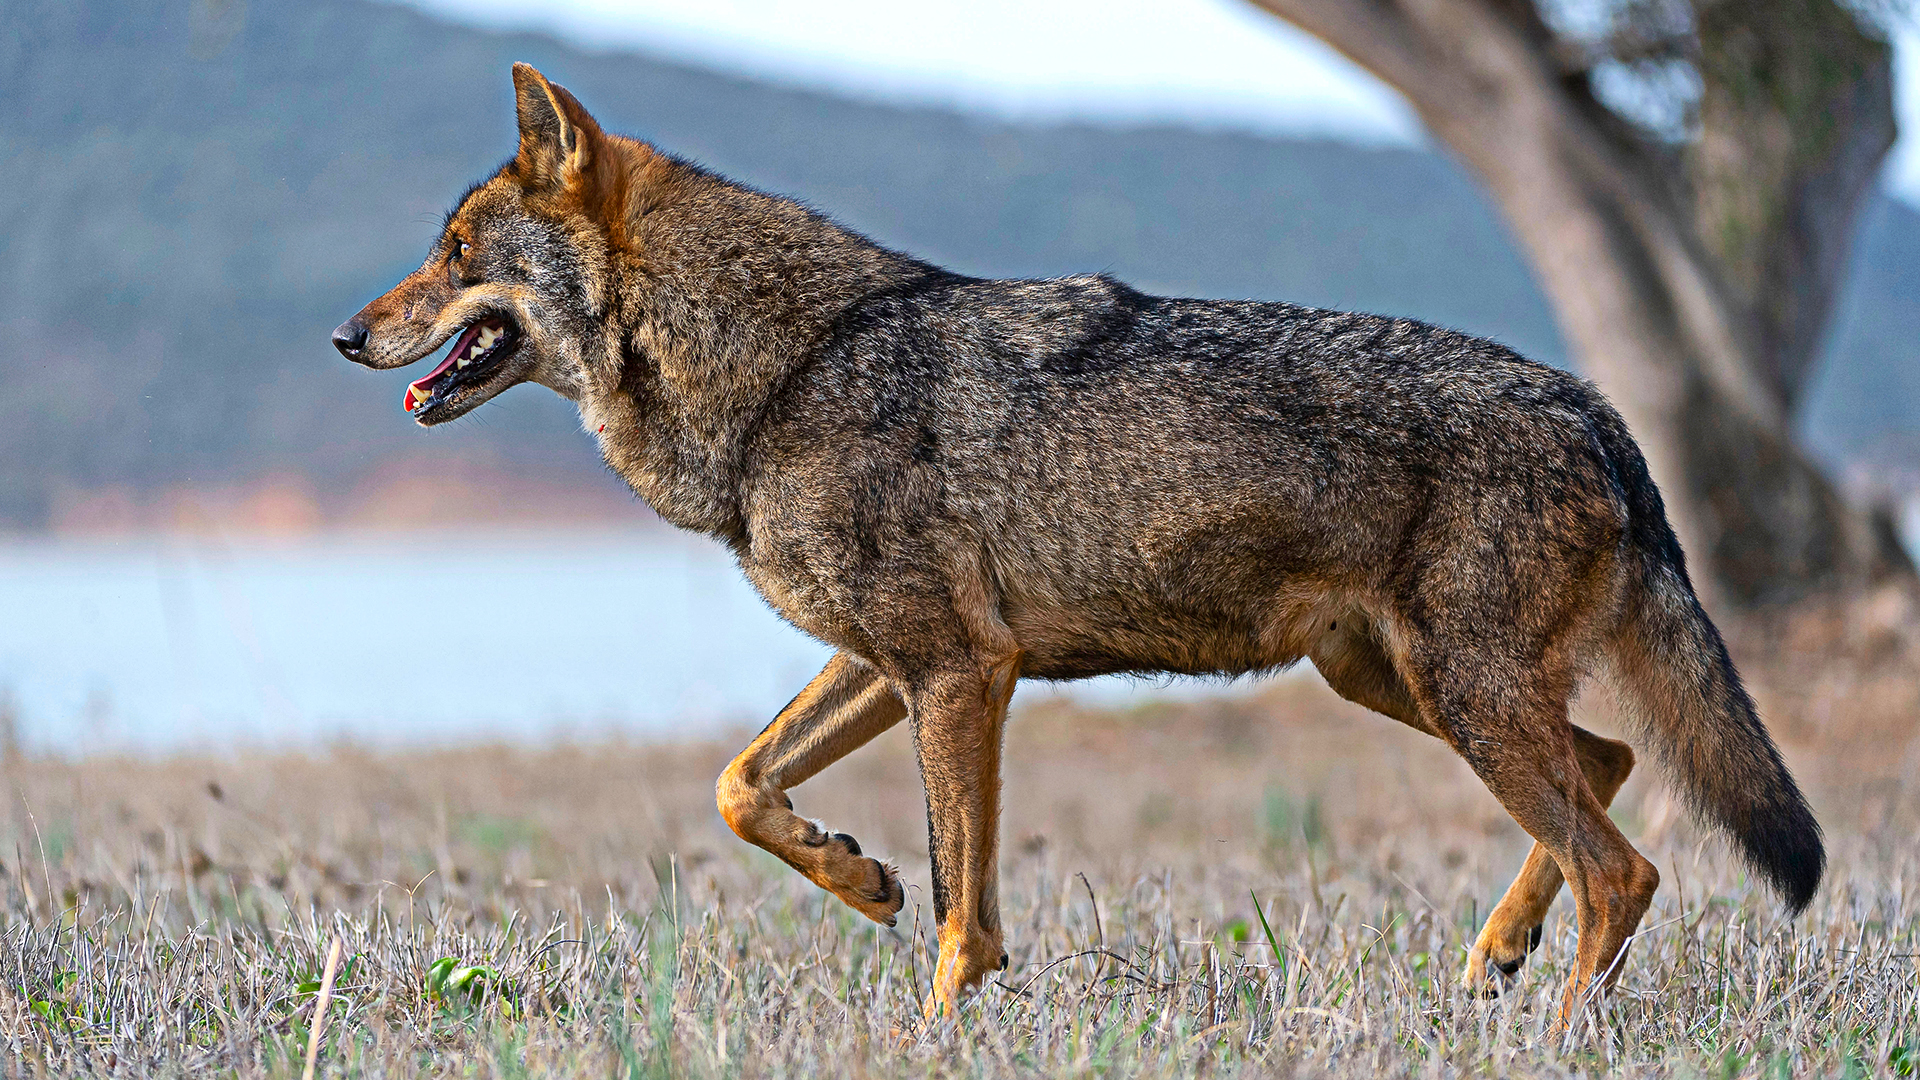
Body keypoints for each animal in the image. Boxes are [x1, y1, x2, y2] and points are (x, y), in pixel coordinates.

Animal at [333, 64, 1822, 1017]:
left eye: (455, 252)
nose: (347, 335)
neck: (791, 368)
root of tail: (1596, 407)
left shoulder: (957, 674)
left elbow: (961, 910)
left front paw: (939, 1024)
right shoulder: (894, 665)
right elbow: (742, 788)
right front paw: (855, 876)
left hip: (1457, 696)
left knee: (1624, 868)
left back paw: (1554, 1028)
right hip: (1399, 684)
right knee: (1615, 768)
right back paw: (1496, 961)